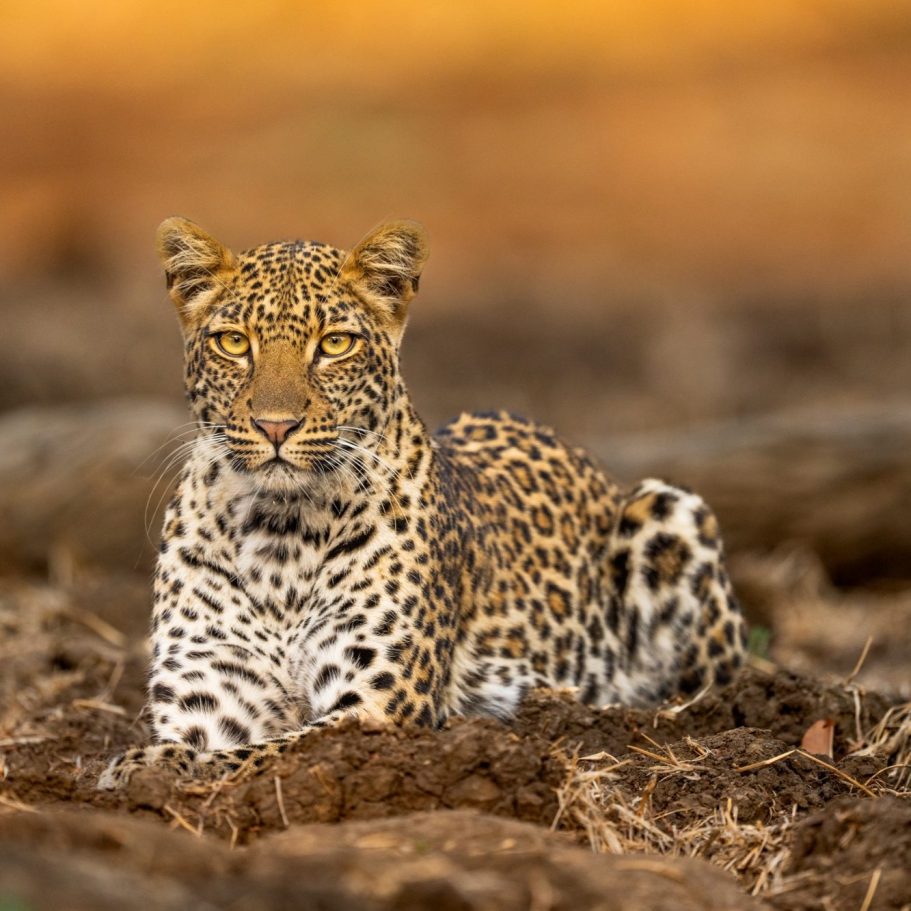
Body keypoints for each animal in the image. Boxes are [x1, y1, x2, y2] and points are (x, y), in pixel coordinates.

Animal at [98, 217, 746, 788]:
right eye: (234, 342)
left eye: (335, 344)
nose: (275, 426)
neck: (277, 532)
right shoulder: (210, 698)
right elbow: (209, 747)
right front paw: (141, 769)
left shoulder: (379, 708)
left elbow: (261, 755)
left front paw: (142, 772)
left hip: (671, 509)